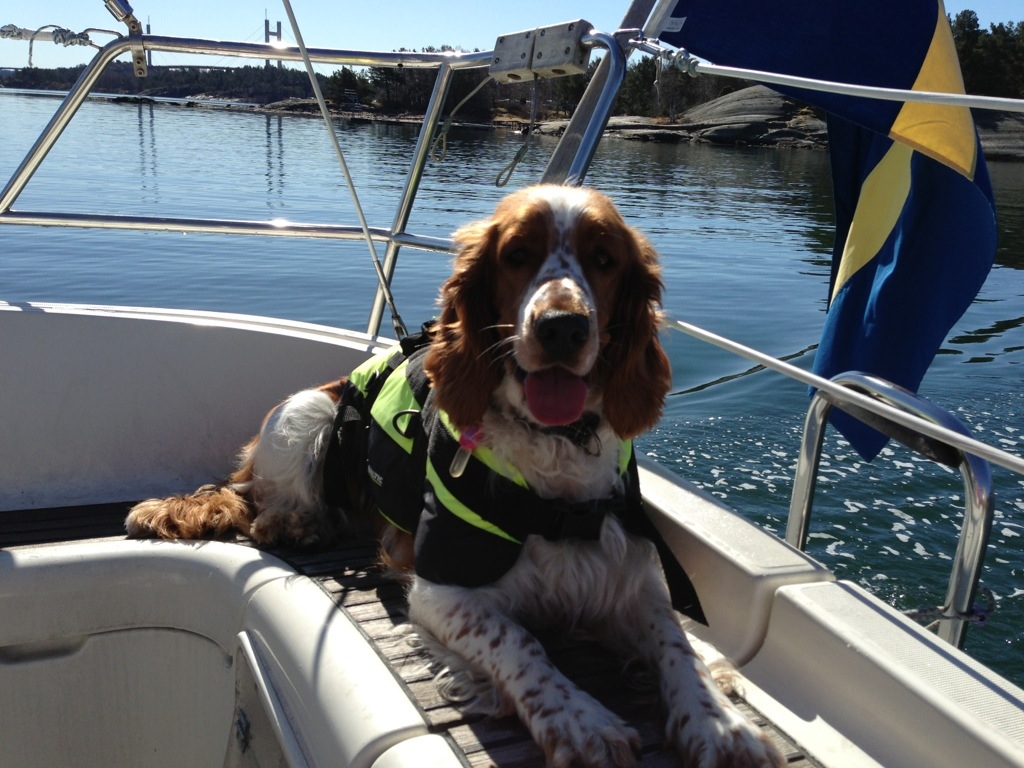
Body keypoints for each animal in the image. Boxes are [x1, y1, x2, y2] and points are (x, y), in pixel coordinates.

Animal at [127, 185, 783, 768]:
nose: (562, 328)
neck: (554, 451)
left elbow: (677, 645)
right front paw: (582, 721)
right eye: (516, 254)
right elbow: (520, 643)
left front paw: (720, 726)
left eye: (604, 259)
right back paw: (295, 524)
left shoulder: (626, 578)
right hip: (305, 414)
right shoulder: (443, 586)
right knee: (264, 501)